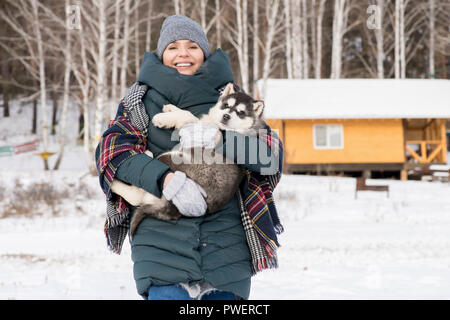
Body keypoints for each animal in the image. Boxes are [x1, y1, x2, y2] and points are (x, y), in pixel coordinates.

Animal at [111, 83, 266, 238]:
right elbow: (187, 113)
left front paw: (163, 118)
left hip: (172, 157)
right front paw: (171, 108)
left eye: (240, 112)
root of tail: (172, 208)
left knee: (138, 193)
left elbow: (187, 116)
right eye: (226, 105)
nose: (226, 116)